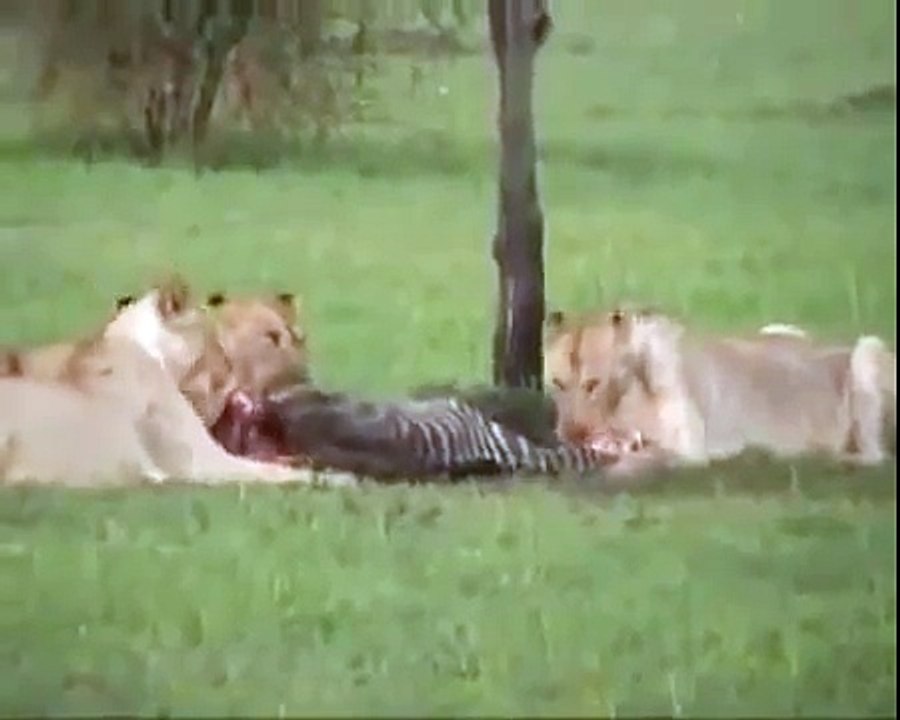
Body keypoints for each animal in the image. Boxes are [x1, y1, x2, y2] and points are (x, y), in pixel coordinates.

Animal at [543, 306, 896, 472]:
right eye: (557, 383)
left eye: (593, 384)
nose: (570, 433)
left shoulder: (690, 451)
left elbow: (647, 456)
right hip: (778, 328)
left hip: (868, 349)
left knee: (876, 457)